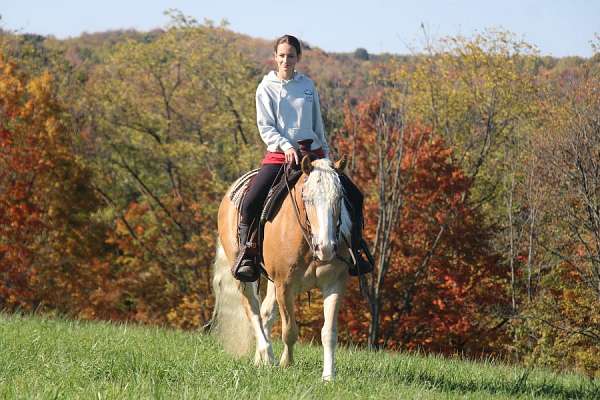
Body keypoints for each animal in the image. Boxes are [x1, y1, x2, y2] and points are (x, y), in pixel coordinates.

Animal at [211, 155, 352, 380]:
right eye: (307, 198)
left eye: (339, 198)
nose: (326, 247)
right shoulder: (284, 285)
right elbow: (289, 330)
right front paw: (286, 363)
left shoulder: (334, 284)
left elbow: (328, 332)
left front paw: (329, 376)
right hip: (244, 276)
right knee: (253, 310)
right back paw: (268, 356)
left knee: (265, 313)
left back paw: (260, 360)